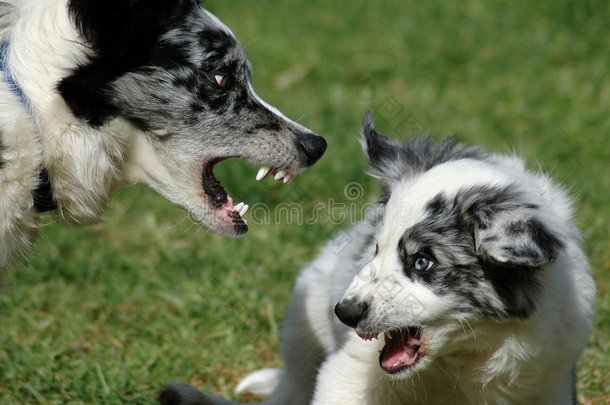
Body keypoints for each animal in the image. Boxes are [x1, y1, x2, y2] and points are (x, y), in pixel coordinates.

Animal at [160, 112, 592, 402]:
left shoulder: (547, 380)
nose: (345, 313)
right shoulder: (349, 372)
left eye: (423, 262)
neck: (463, 359)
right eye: (375, 249)